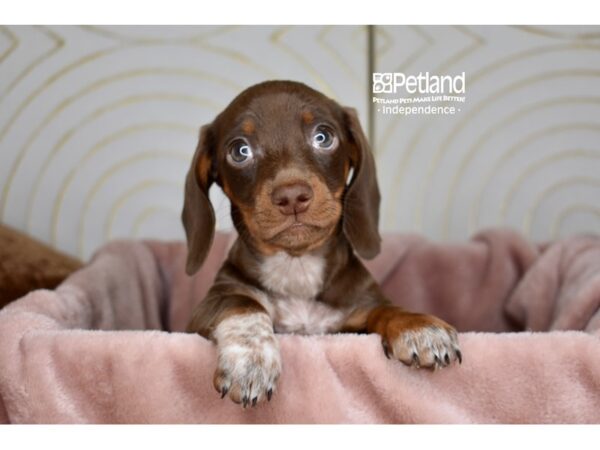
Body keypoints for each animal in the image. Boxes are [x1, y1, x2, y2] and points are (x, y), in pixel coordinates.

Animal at [183, 80, 460, 408]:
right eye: (240, 151)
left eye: (323, 136)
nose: (292, 196)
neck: (297, 266)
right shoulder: (212, 303)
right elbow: (243, 304)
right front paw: (251, 359)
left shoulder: (356, 314)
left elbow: (384, 309)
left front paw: (418, 326)